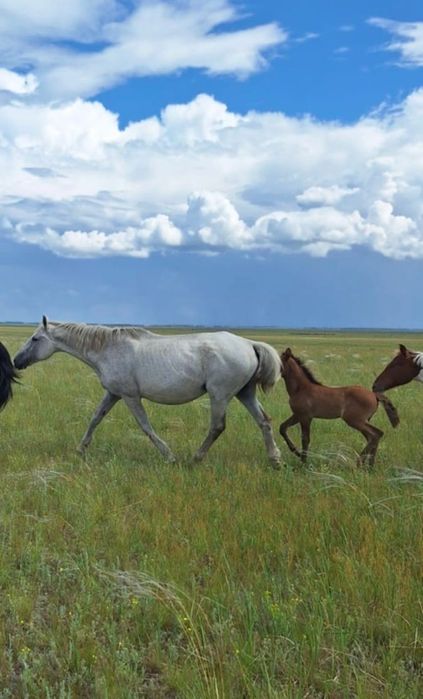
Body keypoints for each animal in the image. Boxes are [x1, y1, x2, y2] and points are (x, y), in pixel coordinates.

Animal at [14, 316, 282, 465]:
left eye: (35, 339)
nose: (16, 361)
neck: (107, 349)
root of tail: (248, 343)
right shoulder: (113, 394)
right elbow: (95, 418)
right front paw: (81, 449)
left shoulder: (130, 396)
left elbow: (145, 426)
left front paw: (169, 456)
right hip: (245, 393)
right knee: (264, 421)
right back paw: (275, 459)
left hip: (220, 395)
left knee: (217, 427)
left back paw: (195, 459)